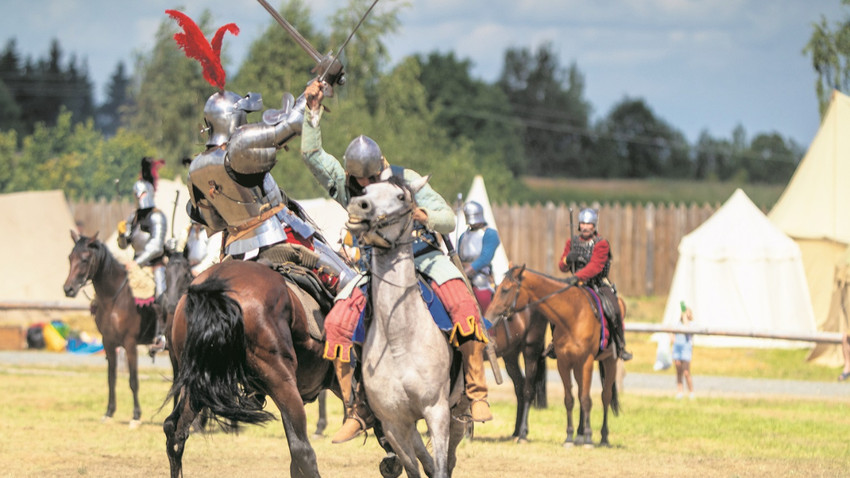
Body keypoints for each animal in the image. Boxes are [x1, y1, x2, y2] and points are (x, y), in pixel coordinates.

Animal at [342, 177, 464, 478]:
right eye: (365, 191)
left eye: (400, 197)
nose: (359, 206)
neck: (400, 340)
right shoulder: (393, 423)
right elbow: (413, 468)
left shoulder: (437, 410)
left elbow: (442, 466)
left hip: (456, 409)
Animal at [486, 266, 620, 448]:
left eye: (505, 289)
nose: (488, 317)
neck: (573, 315)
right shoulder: (564, 362)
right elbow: (570, 398)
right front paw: (571, 437)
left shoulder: (586, 361)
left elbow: (585, 398)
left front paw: (588, 438)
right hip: (514, 357)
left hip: (606, 360)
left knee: (604, 396)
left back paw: (602, 437)